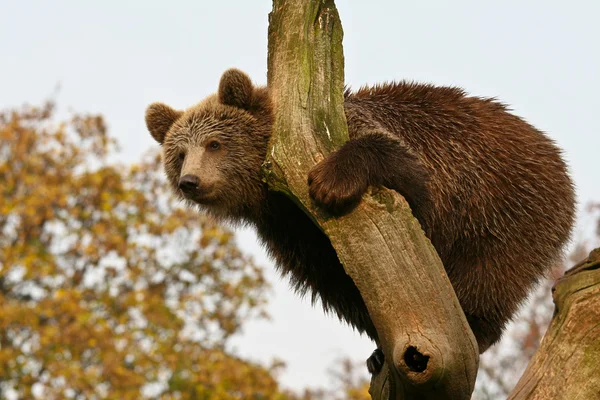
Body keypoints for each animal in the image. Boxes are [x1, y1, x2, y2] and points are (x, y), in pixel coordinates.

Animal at [145, 68, 576, 372]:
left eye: (214, 143)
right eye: (179, 153)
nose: (190, 182)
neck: (272, 194)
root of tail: (553, 153)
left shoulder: (370, 137)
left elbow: (404, 172)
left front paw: (332, 181)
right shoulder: (288, 230)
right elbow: (337, 281)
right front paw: (378, 350)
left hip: (505, 205)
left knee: (492, 271)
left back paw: (476, 325)